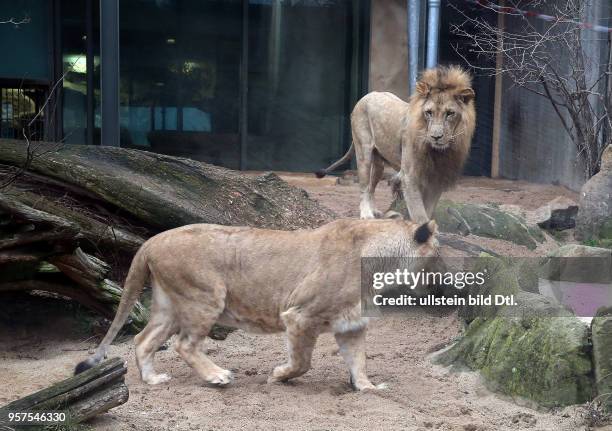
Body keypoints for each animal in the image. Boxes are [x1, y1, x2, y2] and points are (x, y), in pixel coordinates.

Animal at [76, 218, 438, 390]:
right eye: (437, 255)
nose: (445, 280)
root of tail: (153, 240)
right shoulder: (299, 315)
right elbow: (302, 362)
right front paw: (278, 377)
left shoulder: (351, 324)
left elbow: (359, 361)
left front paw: (368, 388)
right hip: (205, 297)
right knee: (184, 345)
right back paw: (217, 376)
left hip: (171, 305)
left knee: (143, 340)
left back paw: (153, 379)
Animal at [318, 67, 476, 224]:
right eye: (429, 113)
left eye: (450, 113)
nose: (436, 137)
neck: (439, 152)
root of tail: (365, 96)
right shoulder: (409, 176)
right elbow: (419, 213)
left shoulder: (436, 178)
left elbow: (428, 210)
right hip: (364, 151)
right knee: (364, 186)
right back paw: (366, 214)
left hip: (379, 165)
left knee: (371, 187)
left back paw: (375, 211)